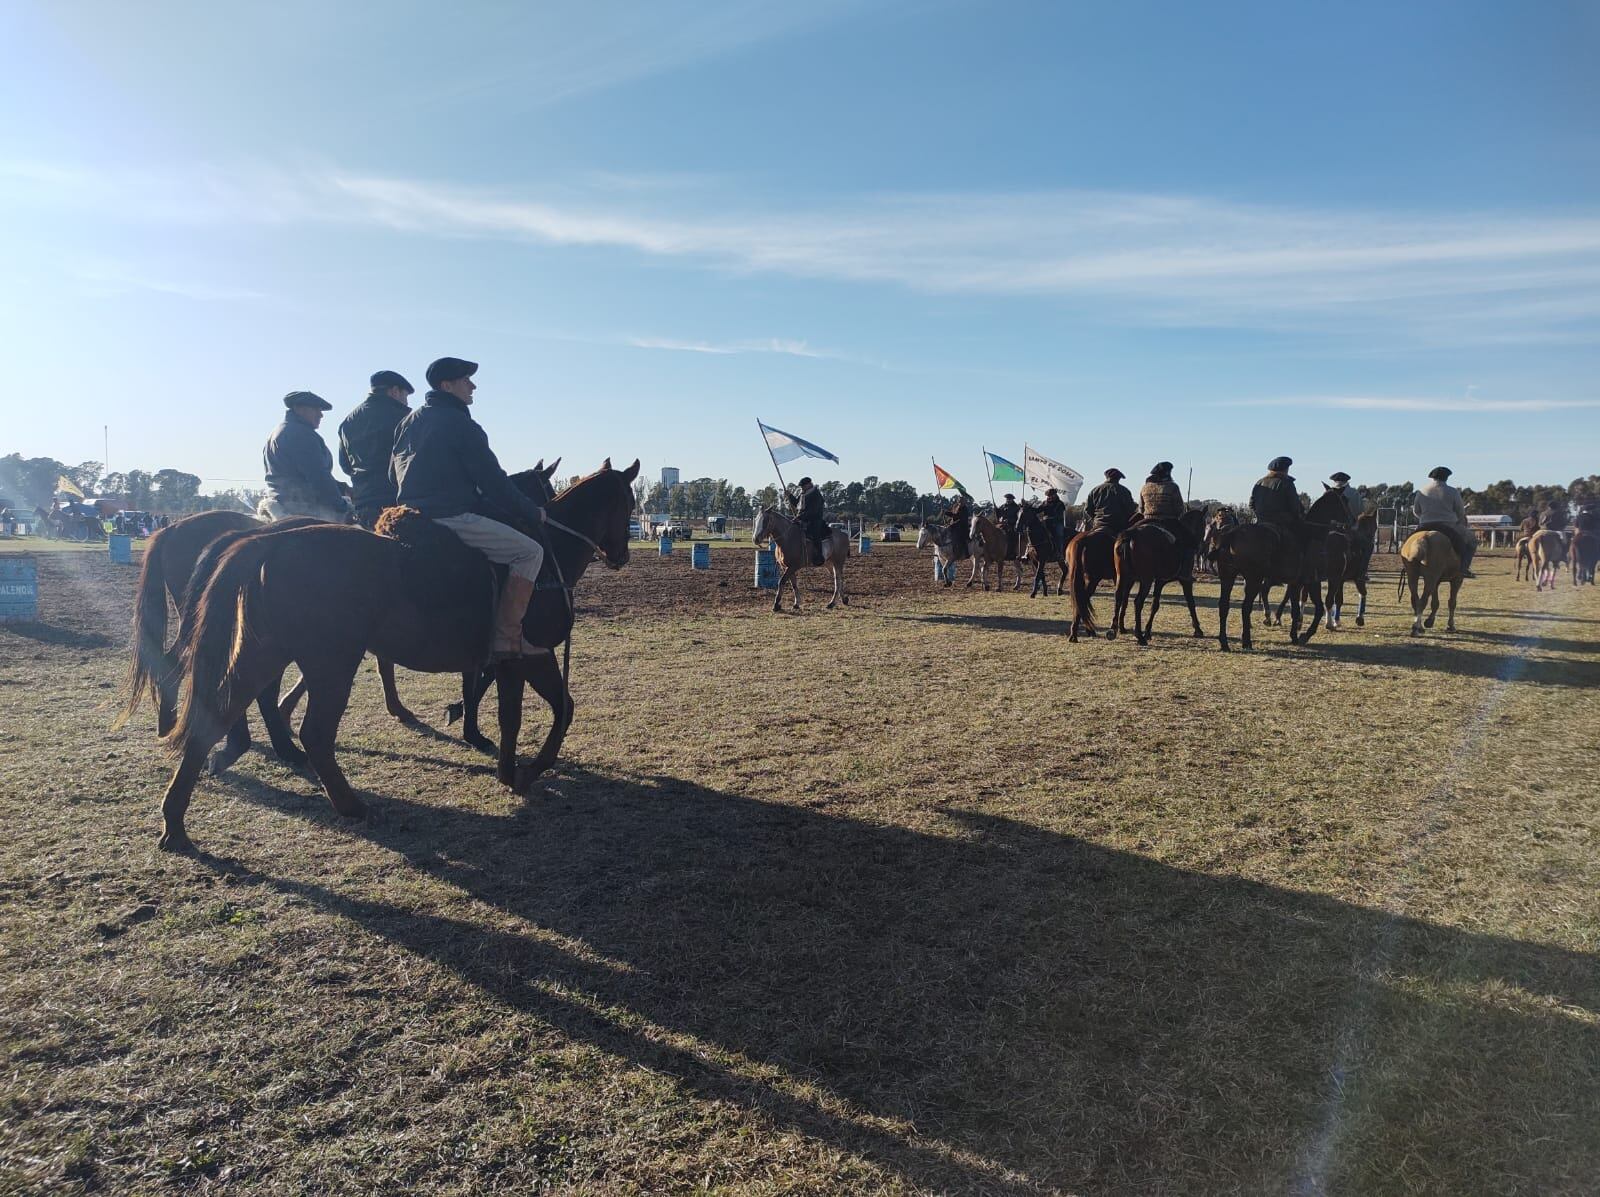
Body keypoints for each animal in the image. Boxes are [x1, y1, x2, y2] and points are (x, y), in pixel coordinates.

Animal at [157, 454, 636, 851]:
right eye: (629, 505)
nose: (622, 554)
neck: (545, 560)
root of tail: (266, 542)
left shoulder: (517, 661)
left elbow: (539, 707)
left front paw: (504, 759)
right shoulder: (527, 658)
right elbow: (536, 713)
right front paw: (525, 769)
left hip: (268, 653)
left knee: (219, 715)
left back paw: (178, 818)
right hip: (331, 664)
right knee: (314, 733)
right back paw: (348, 803)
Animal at [1107, 508, 1203, 649]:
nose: (1201, 546)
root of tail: (1130, 535)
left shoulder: (1159, 581)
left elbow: (1154, 605)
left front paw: (1147, 631)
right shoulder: (1184, 580)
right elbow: (1190, 602)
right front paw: (1197, 629)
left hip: (1123, 576)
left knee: (1119, 597)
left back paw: (1114, 629)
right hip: (1146, 580)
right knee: (1138, 602)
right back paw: (1139, 636)